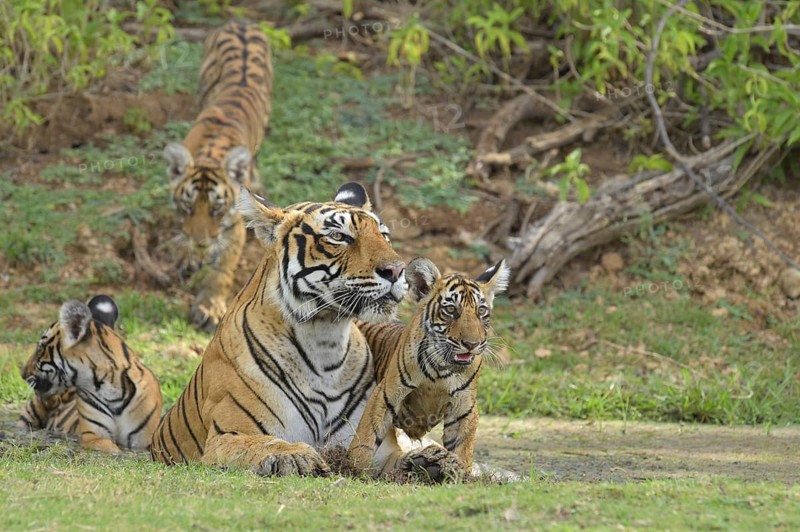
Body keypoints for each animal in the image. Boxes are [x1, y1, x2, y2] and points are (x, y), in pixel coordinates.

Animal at [150, 183, 464, 482]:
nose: (397, 270)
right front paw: (295, 455)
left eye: (384, 235)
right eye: (338, 236)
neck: (324, 339)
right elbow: (263, 444)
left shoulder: (374, 450)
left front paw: (434, 461)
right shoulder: (226, 437)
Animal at [163, 19, 273, 331]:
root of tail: (241, 21)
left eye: (216, 209)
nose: (202, 242)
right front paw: (190, 254)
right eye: (187, 207)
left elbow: (223, 266)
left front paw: (209, 306)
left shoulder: (234, 222)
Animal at [347, 257, 510, 476]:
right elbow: (367, 434)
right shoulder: (386, 392)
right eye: (451, 310)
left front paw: (460, 473)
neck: (442, 368)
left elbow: (462, 446)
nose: (472, 344)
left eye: (481, 311)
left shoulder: (464, 407)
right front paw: (353, 466)